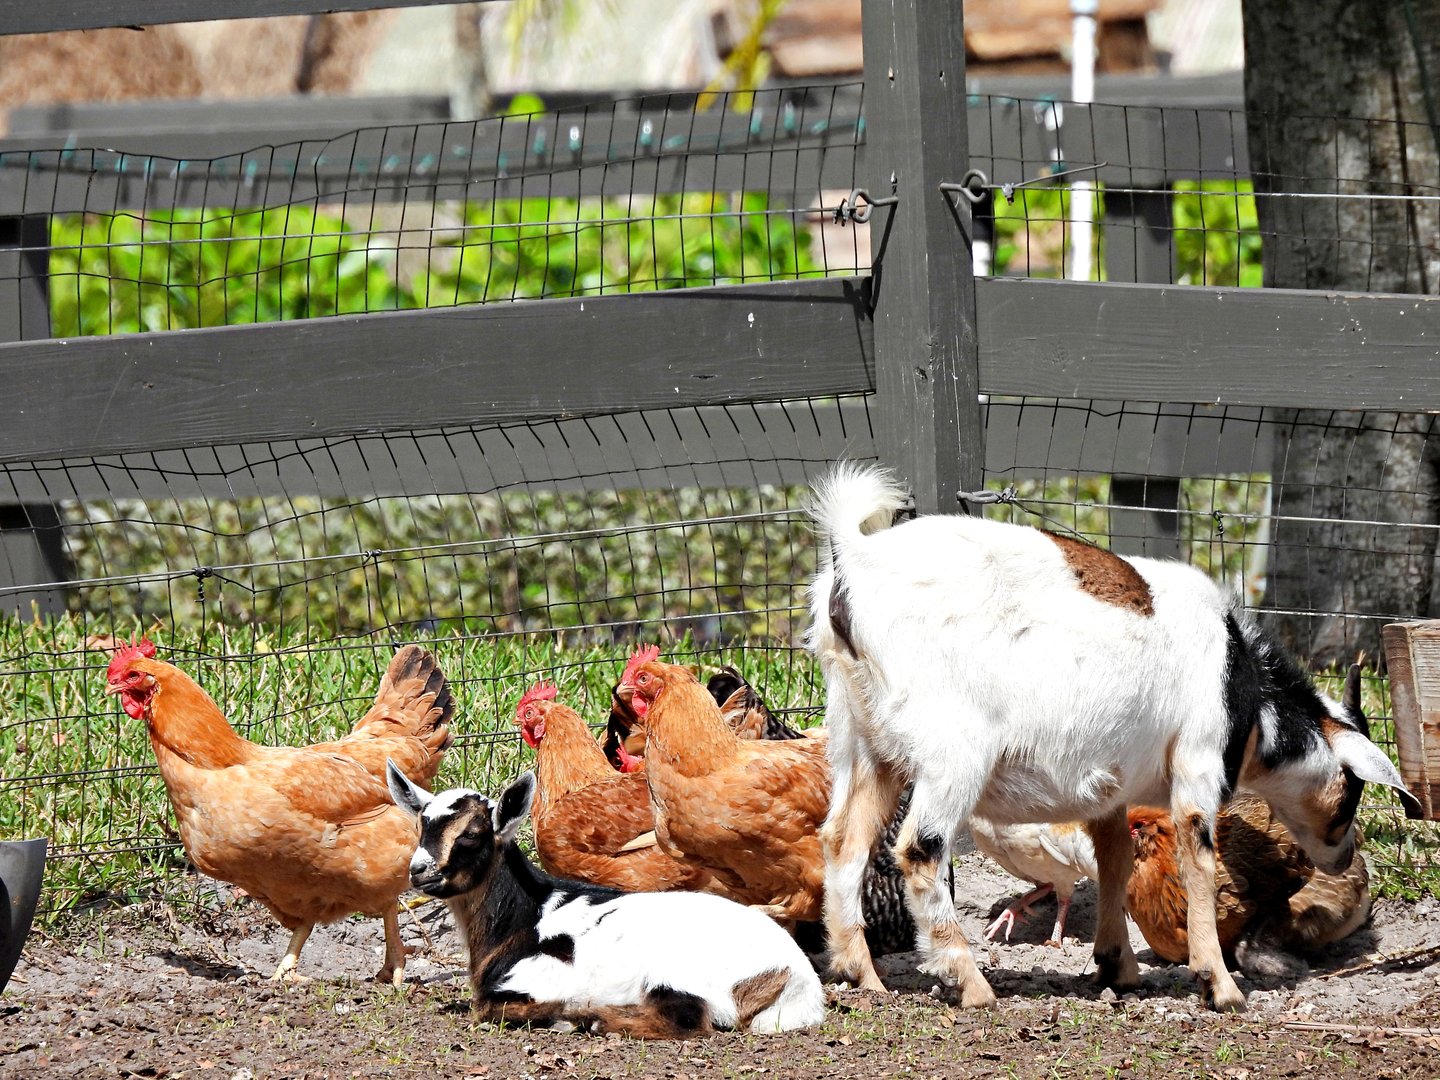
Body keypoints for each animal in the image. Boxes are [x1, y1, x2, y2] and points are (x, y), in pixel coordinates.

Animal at [385, 763, 826, 1036]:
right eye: (422, 825)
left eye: (471, 835)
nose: (419, 870)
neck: (526, 918)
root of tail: (794, 974)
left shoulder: (536, 980)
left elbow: (488, 1006)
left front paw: (568, 1014)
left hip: (678, 969)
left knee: (689, 1018)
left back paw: (596, 1019)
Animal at [806, 462, 1419, 1012]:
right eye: (1351, 791)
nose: (1344, 857)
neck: (1241, 684)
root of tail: (854, 565)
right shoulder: (1198, 763)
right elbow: (1199, 860)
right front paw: (1220, 987)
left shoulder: (1108, 790)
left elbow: (1116, 860)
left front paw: (1117, 967)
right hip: (953, 752)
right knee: (919, 848)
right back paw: (971, 983)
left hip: (861, 741)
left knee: (842, 841)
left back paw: (864, 975)